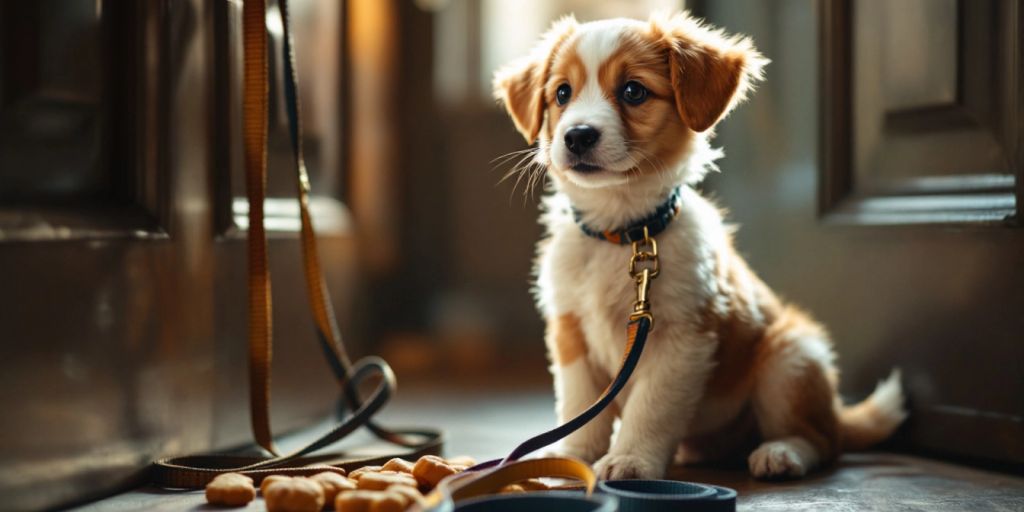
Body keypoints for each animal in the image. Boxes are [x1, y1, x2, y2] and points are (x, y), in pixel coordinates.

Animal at [491, 14, 909, 481]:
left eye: (633, 91)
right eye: (562, 93)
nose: (578, 136)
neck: (625, 232)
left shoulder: (683, 337)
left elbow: (650, 407)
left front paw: (630, 459)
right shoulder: (570, 331)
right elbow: (583, 407)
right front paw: (574, 455)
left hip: (790, 361)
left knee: (822, 439)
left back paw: (782, 453)